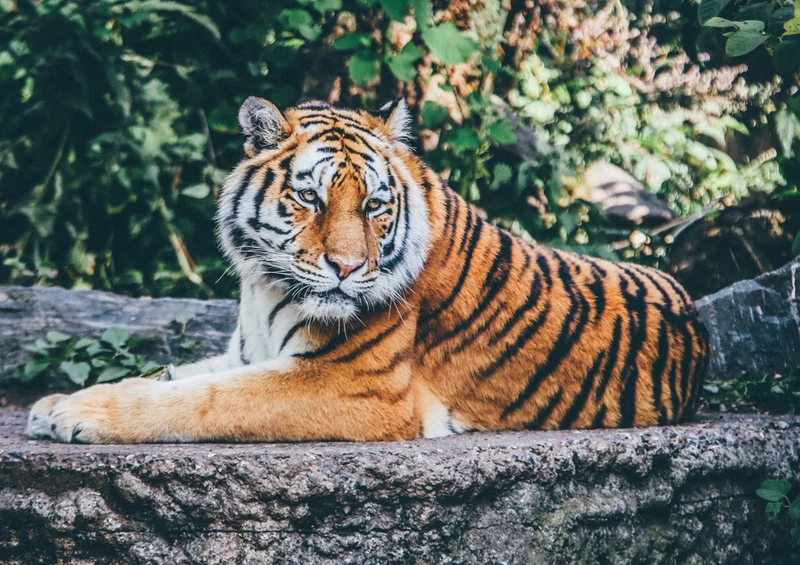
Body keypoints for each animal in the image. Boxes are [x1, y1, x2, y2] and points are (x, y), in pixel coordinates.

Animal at [27, 97, 710, 443]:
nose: (348, 267)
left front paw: (77, 415)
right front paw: (56, 402)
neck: (263, 287)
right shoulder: (245, 353)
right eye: (310, 198)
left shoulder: (351, 385)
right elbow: (170, 376)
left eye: (375, 206)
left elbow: (200, 400)